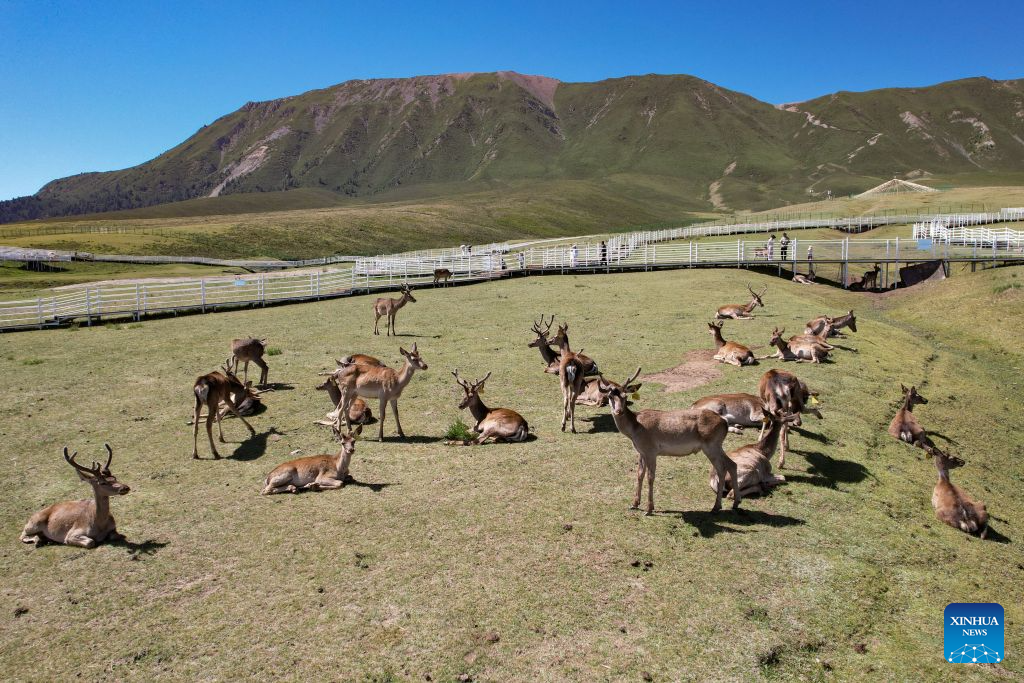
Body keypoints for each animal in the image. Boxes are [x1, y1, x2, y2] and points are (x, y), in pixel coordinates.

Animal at [597, 368, 741, 514]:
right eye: (610, 396)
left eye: (625, 396)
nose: (619, 411)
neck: (634, 430)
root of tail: (724, 421)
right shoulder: (641, 451)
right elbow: (639, 474)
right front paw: (634, 504)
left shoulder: (651, 450)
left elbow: (650, 477)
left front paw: (649, 509)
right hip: (717, 445)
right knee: (732, 464)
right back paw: (735, 503)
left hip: (711, 445)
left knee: (721, 469)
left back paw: (716, 506)